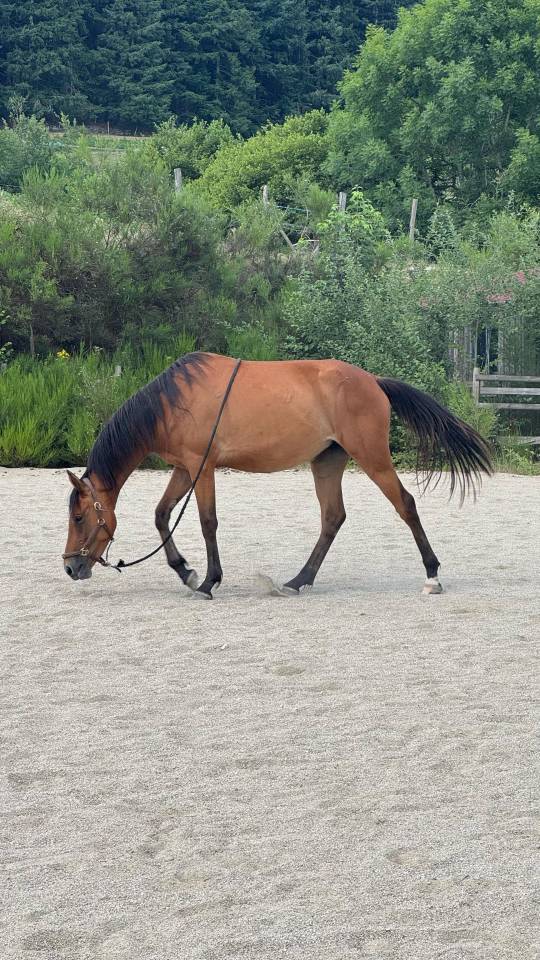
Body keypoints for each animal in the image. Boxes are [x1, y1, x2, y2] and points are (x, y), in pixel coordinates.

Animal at [63, 352, 492, 598]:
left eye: (79, 517)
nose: (70, 567)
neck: (174, 402)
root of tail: (373, 381)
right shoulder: (184, 467)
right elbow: (161, 514)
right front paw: (185, 571)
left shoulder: (201, 466)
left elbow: (207, 522)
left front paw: (208, 582)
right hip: (327, 463)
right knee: (332, 518)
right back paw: (298, 580)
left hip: (373, 458)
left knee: (405, 505)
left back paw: (432, 575)